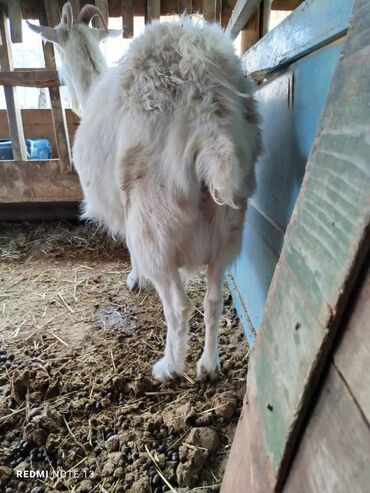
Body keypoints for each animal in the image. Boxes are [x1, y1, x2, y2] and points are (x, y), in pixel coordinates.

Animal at [30, 1, 262, 378]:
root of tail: (205, 102)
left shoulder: (126, 212)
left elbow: (128, 248)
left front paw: (134, 279)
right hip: (228, 226)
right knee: (212, 300)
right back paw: (209, 365)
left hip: (154, 222)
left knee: (179, 306)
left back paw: (169, 367)